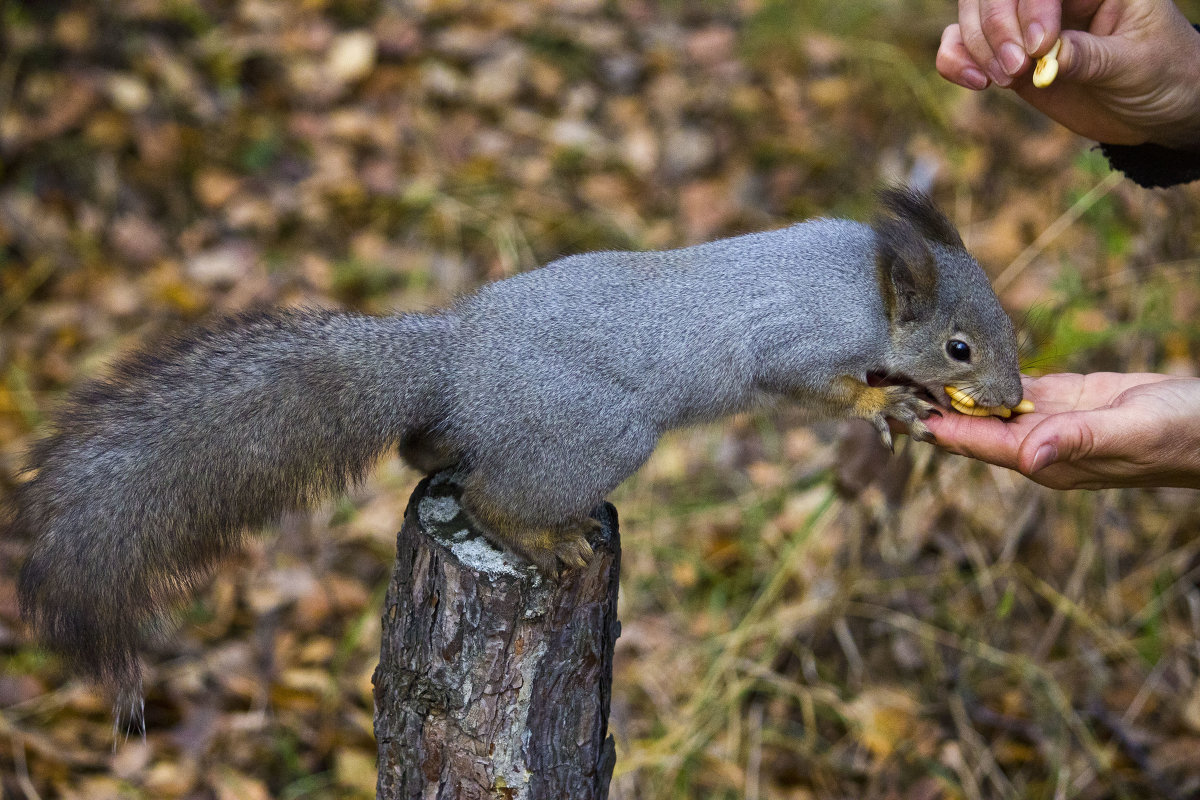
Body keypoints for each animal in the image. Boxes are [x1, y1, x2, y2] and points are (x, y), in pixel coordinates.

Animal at [11, 188, 1022, 700]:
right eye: (960, 346)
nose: (1014, 402)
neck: (865, 286)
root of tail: (456, 363)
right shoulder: (794, 343)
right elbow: (811, 386)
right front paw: (887, 406)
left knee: (436, 460)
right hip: (596, 431)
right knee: (491, 498)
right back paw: (545, 536)